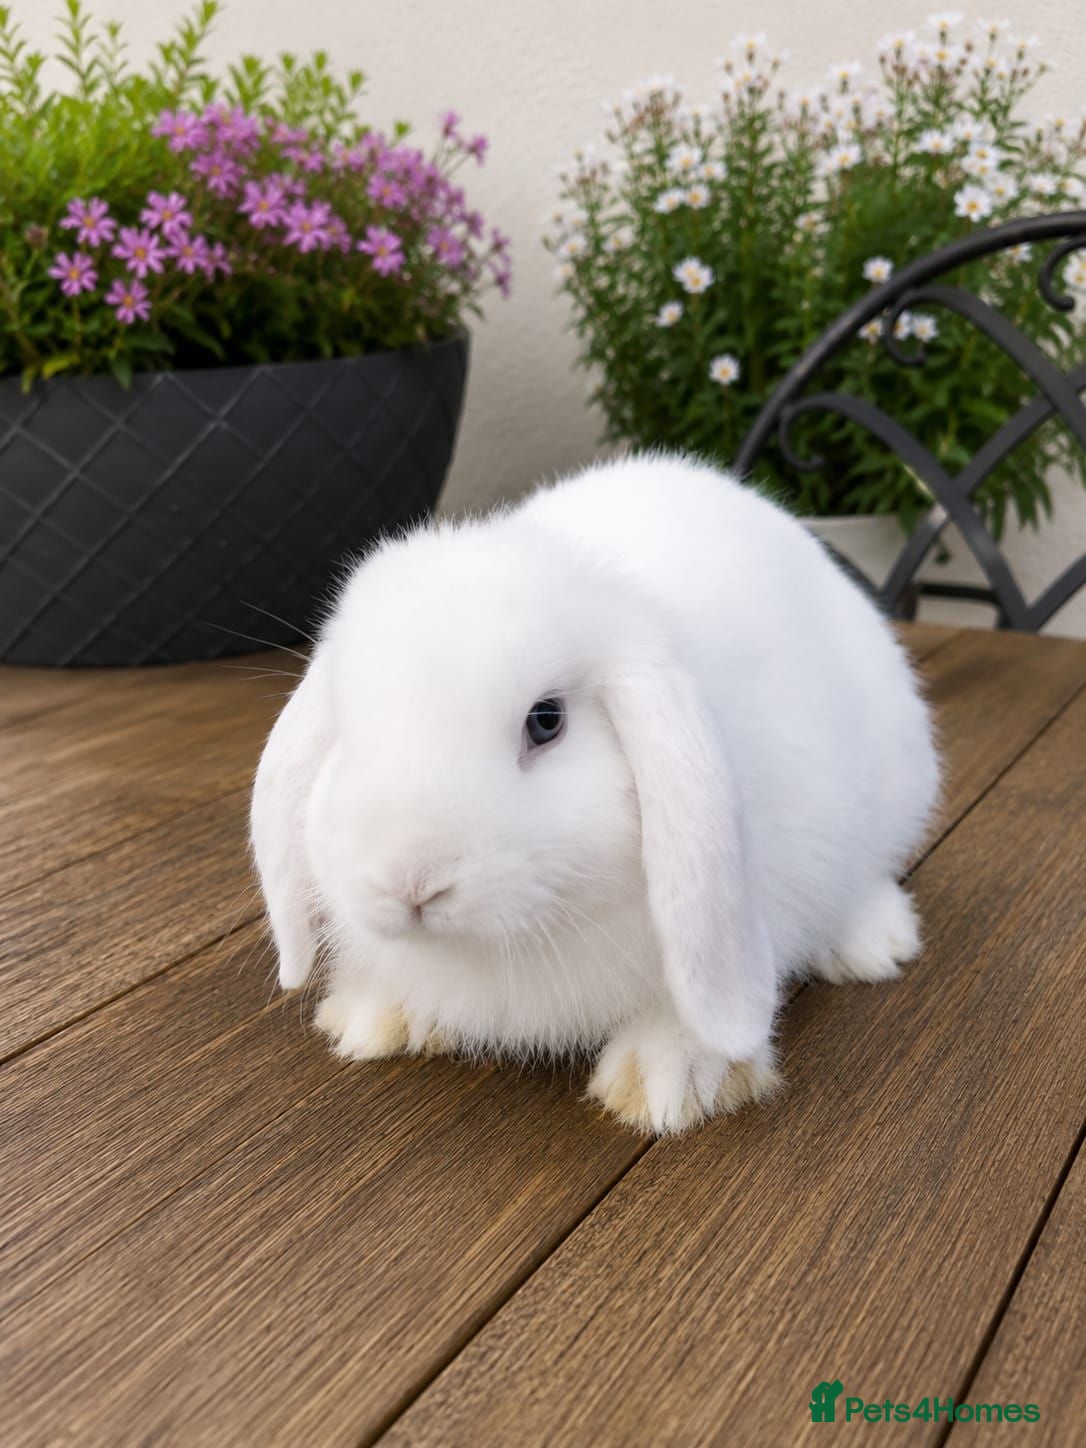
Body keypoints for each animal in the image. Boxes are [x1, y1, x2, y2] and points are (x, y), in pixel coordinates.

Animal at [251, 452, 940, 1135]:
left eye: (546, 721)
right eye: (347, 728)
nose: (410, 884)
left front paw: (668, 1082)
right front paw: (375, 1017)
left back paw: (873, 945)